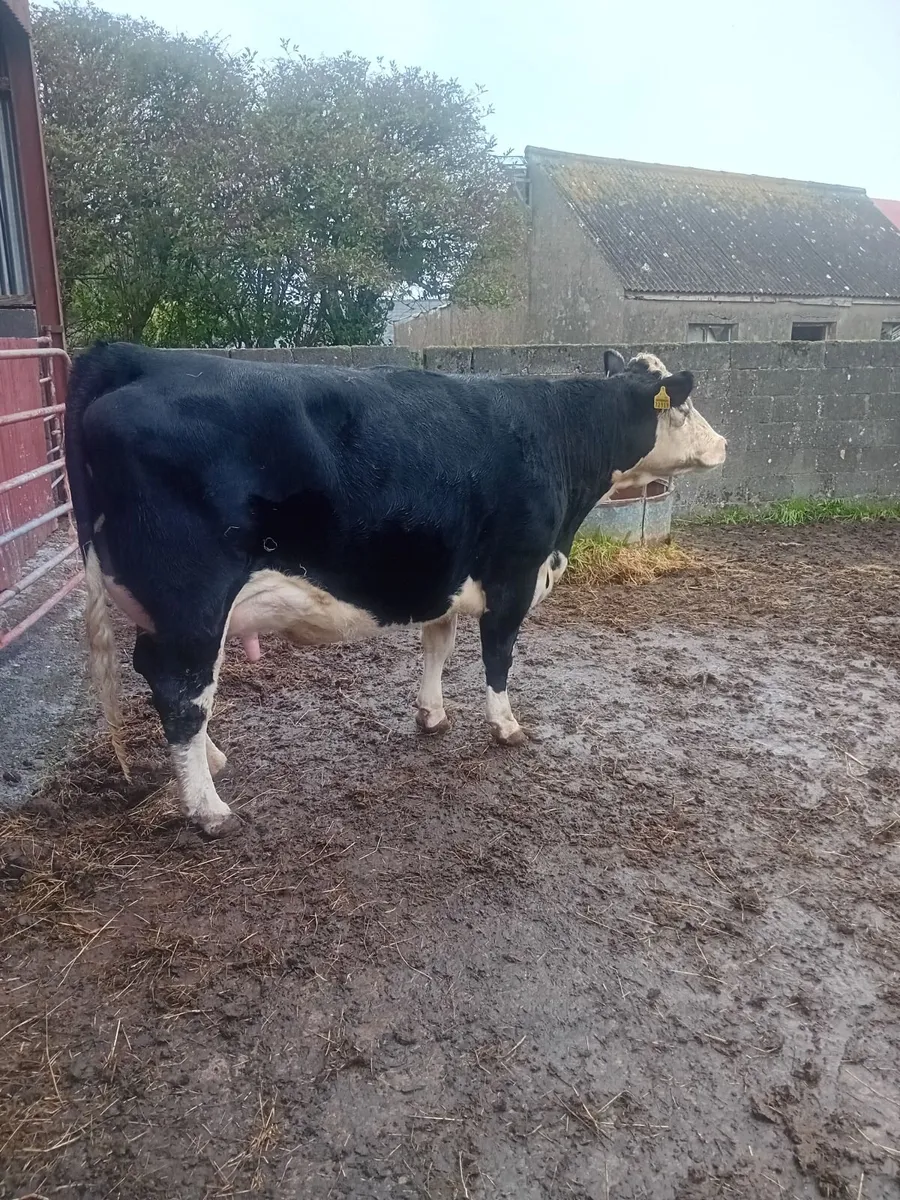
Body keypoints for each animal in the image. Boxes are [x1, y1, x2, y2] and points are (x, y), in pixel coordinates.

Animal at [65, 343, 726, 836]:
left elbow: (439, 644)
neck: (555, 435)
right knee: (181, 691)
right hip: (192, 601)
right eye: (685, 406)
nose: (723, 445)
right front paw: (505, 726)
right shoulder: (513, 575)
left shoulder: (447, 575)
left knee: (174, 684)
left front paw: (432, 714)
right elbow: (498, 658)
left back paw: (212, 760)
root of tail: (133, 356)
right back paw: (208, 809)